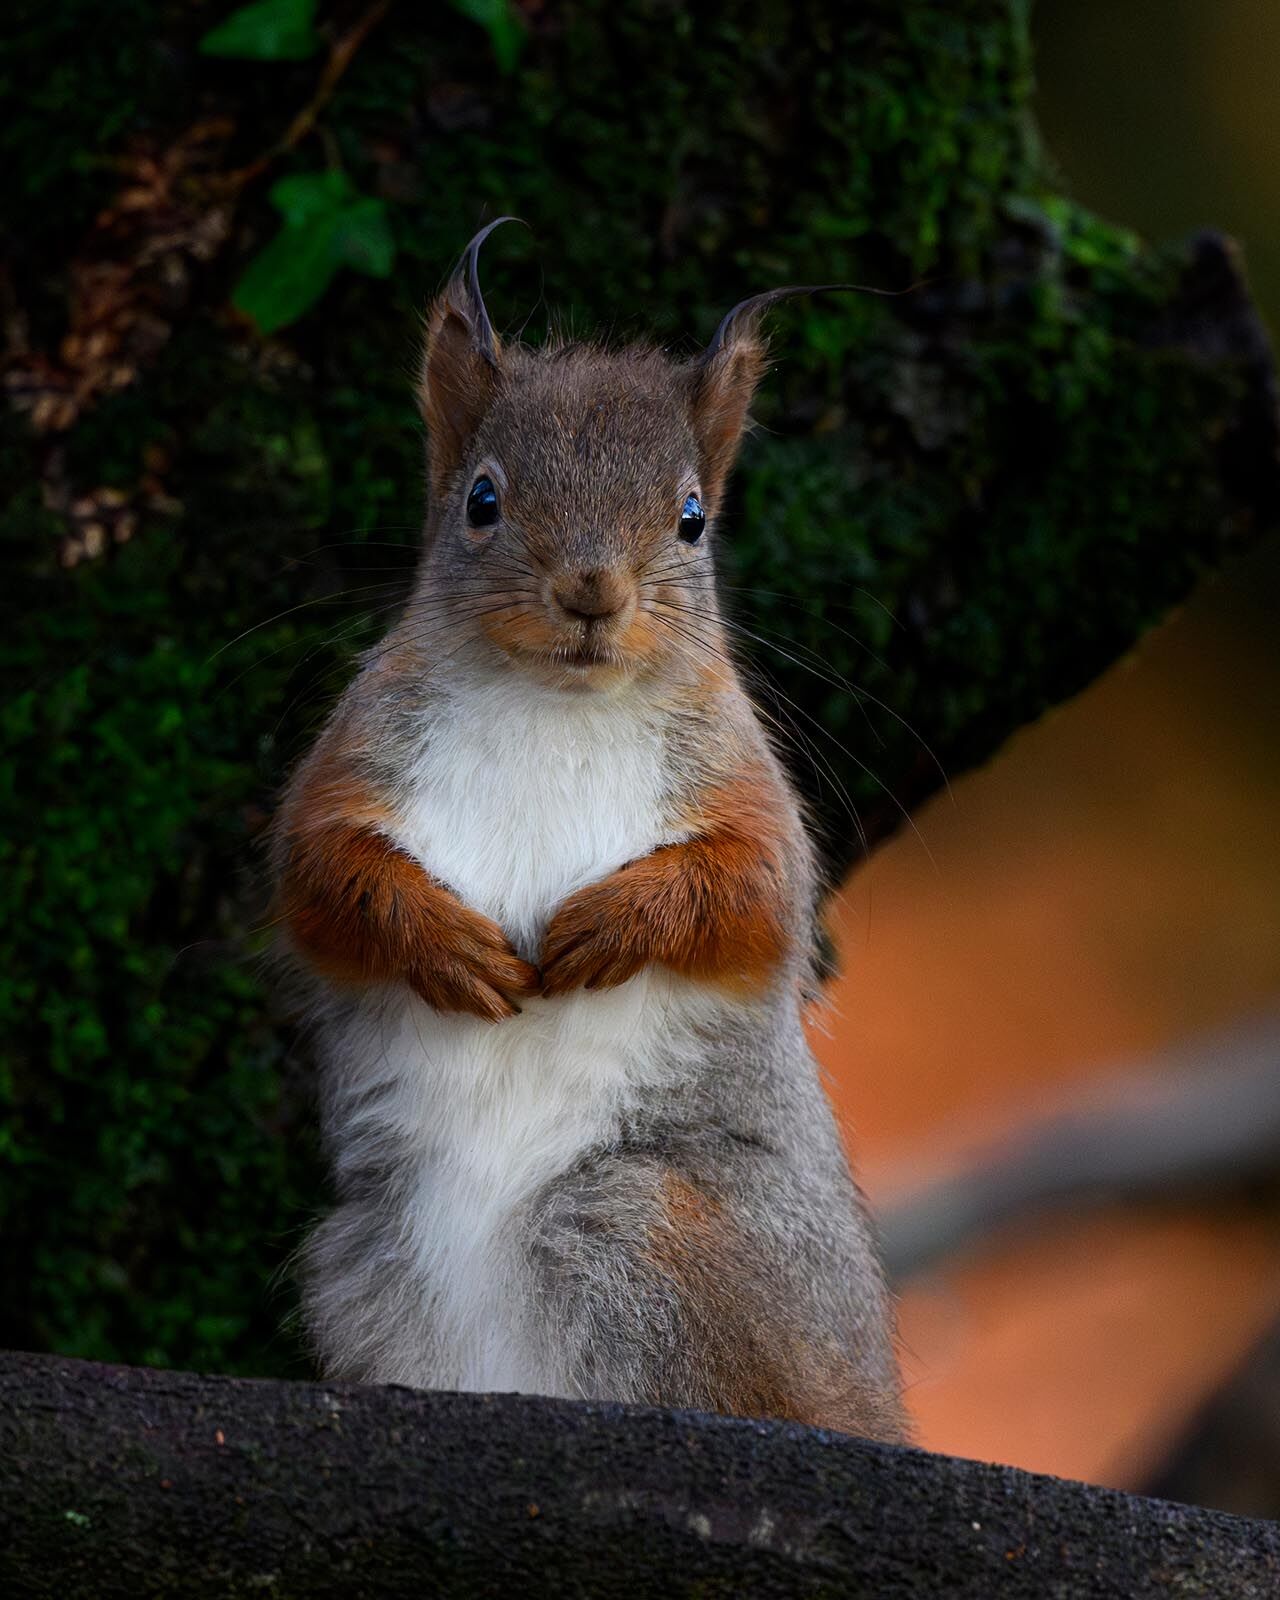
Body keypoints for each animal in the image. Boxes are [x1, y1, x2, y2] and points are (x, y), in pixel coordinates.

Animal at [273, 219, 905, 1442]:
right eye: (481, 499)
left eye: (692, 519)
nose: (591, 591)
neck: (554, 704)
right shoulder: (351, 765)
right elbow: (322, 881)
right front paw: (449, 947)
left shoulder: (746, 791)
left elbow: (751, 895)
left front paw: (607, 929)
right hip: (364, 1258)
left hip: (639, 1225)